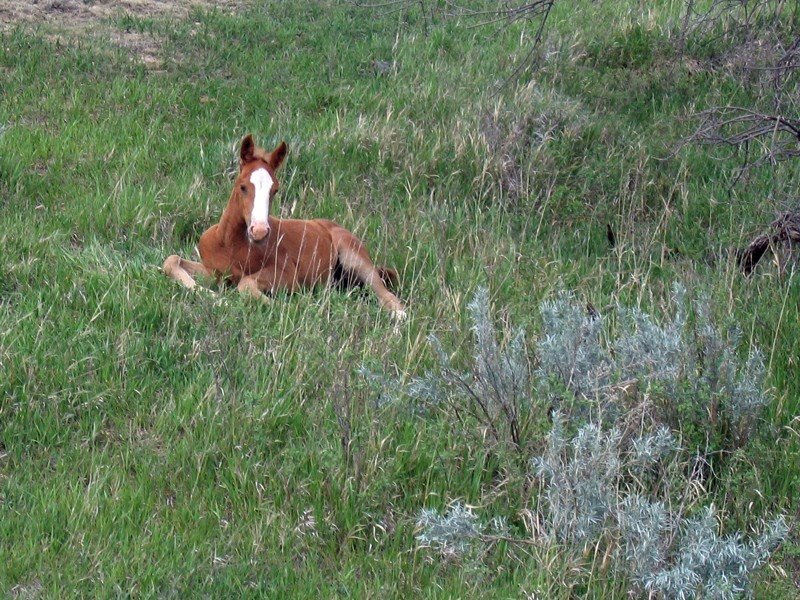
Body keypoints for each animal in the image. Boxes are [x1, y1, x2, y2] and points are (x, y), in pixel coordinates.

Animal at [161, 135, 406, 318]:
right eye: (242, 186)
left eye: (275, 190)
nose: (259, 231)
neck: (231, 245)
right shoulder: (213, 270)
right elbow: (171, 261)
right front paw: (214, 297)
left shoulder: (288, 275)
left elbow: (246, 284)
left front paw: (277, 306)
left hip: (354, 257)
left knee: (385, 293)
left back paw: (398, 316)